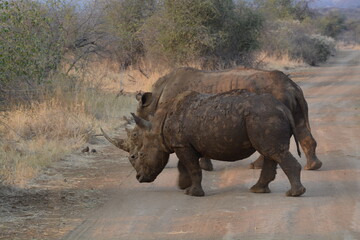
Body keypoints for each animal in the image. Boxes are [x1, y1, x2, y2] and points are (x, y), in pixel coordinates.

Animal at [103, 66, 320, 170]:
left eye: (135, 136)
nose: (133, 158)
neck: (154, 103)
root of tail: (291, 85)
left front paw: (204, 167)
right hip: (291, 96)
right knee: (301, 126)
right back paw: (313, 166)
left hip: (271, 98)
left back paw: (255, 166)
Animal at [129, 89, 306, 197]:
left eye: (141, 155)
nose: (138, 177)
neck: (157, 128)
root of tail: (283, 108)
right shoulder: (184, 144)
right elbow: (184, 165)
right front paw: (183, 185)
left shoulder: (182, 145)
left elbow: (193, 167)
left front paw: (193, 193)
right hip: (266, 117)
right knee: (270, 152)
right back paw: (258, 190)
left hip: (264, 117)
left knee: (274, 152)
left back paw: (293, 194)